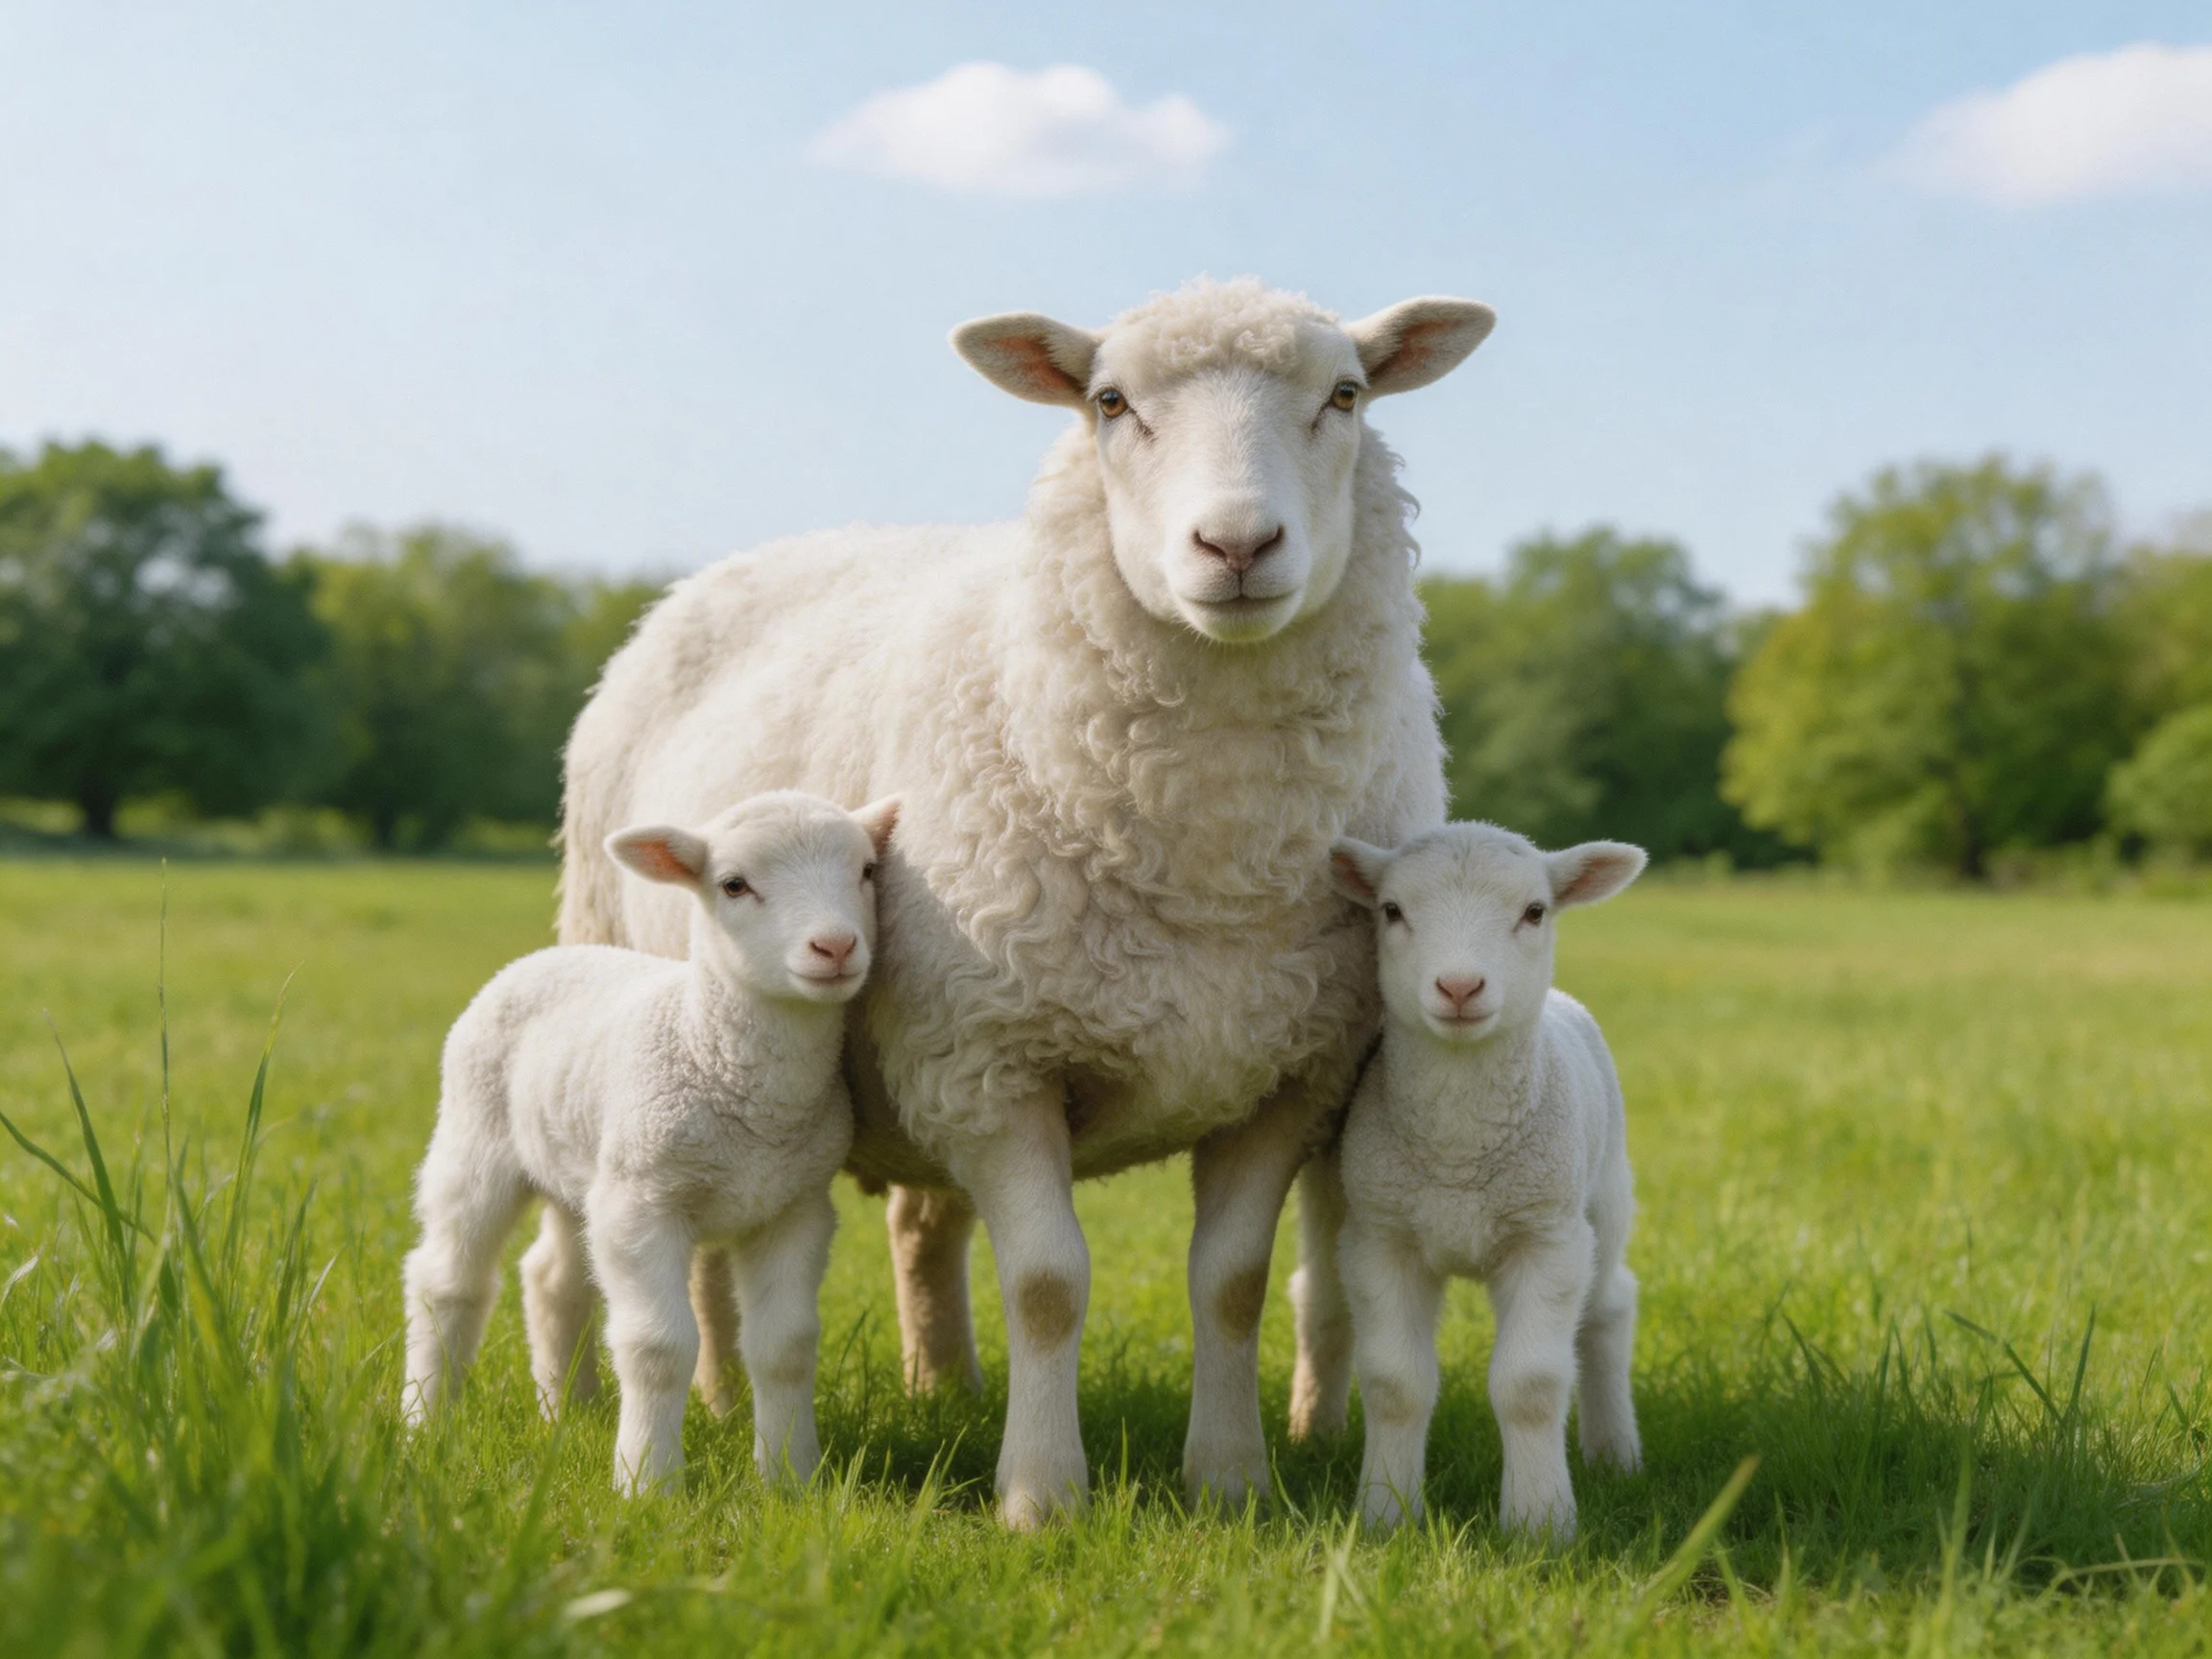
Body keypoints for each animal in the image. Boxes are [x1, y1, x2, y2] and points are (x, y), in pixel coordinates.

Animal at [402, 790, 900, 1496]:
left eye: (866, 871)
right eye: (734, 884)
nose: (834, 946)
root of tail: (548, 954)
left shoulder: (794, 1206)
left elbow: (786, 1347)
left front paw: (790, 1480)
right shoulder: (641, 1204)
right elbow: (659, 1348)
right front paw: (647, 1484)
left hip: (581, 1165)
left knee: (552, 1279)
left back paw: (570, 1411)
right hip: (476, 1136)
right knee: (446, 1280)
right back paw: (423, 1420)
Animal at [557, 277, 1495, 1528]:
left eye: (1346, 395)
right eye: (1110, 403)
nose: (1237, 545)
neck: (1213, 864)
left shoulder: (1285, 1072)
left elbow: (1233, 1285)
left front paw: (1230, 1481)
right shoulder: (990, 1061)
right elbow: (1049, 1284)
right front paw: (1043, 1494)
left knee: (914, 1223)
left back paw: (941, 1389)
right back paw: (680, 1401)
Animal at [1319, 822, 1647, 1537]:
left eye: (1535, 912)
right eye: (1391, 910)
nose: (1460, 987)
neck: (1458, 1154)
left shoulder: (1547, 1237)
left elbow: (1531, 1386)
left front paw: (1539, 1524)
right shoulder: (1381, 1237)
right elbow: (1394, 1384)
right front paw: (1386, 1514)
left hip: (1604, 1197)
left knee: (1610, 1308)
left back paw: (1616, 1454)